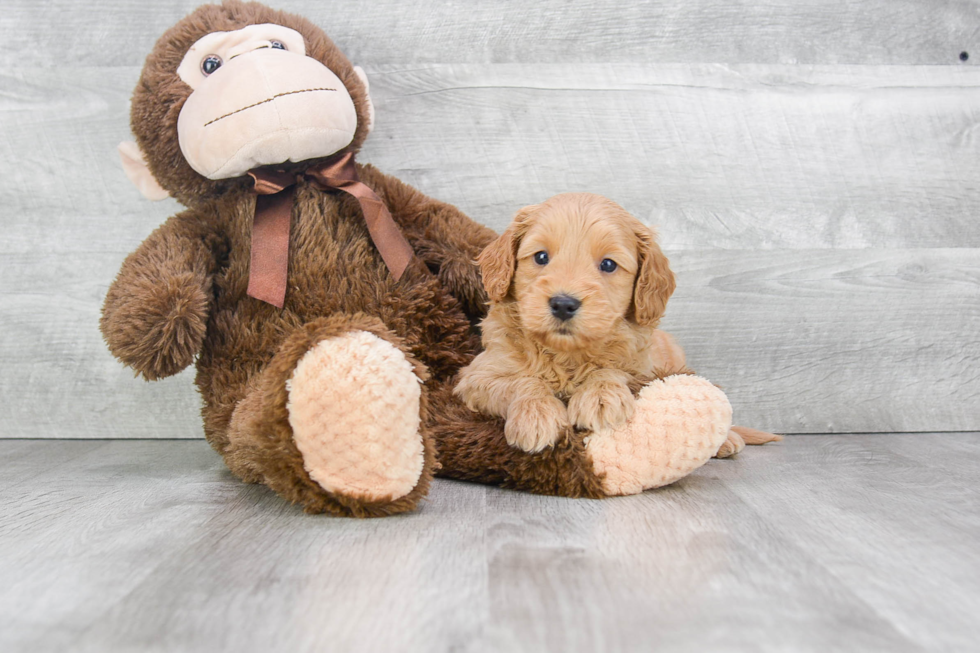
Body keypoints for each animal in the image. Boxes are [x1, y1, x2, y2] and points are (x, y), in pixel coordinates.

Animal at [456, 191, 676, 450]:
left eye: (608, 264)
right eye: (541, 257)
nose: (563, 304)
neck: (566, 354)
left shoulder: (644, 370)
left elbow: (612, 369)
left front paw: (600, 395)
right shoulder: (476, 376)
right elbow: (522, 380)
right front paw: (536, 413)